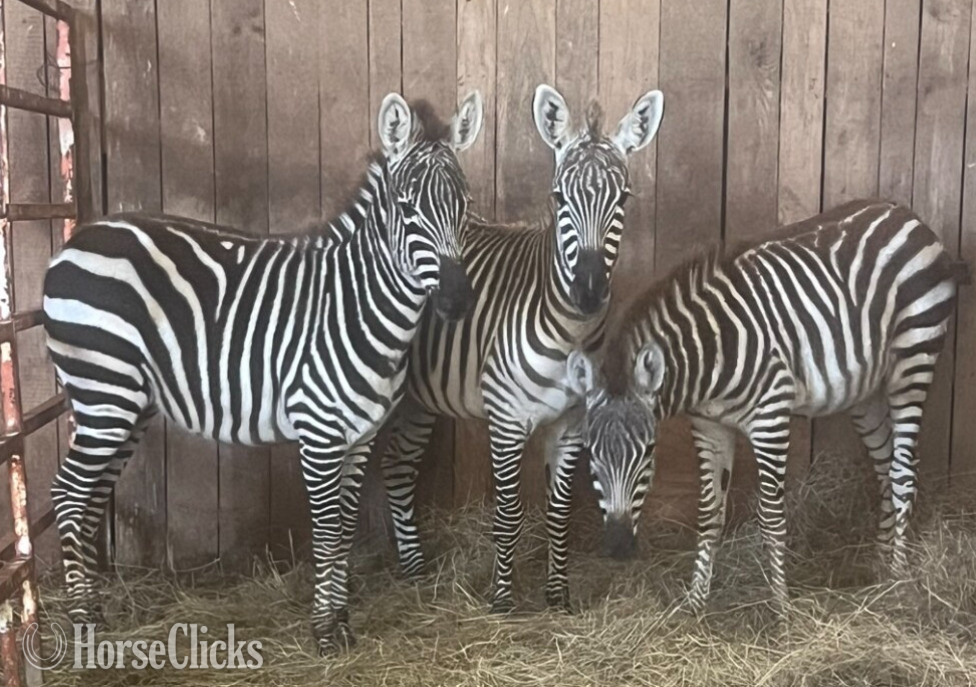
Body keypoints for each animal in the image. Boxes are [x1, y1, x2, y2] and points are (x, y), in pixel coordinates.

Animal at [42, 91, 484, 654]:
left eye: (465, 207)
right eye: (406, 209)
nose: (457, 301)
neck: (356, 304)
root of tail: (77, 239)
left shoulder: (361, 435)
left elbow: (343, 528)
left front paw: (342, 623)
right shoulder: (319, 431)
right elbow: (325, 531)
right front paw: (324, 632)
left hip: (125, 403)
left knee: (91, 495)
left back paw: (95, 607)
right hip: (104, 391)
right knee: (68, 494)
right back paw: (83, 621)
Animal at [381, 84, 664, 613]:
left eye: (623, 198)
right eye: (559, 198)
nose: (589, 291)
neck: (569, 333)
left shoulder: (572, 423)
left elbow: (558, 513)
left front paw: (558, 596)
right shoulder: (506, 421)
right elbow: (509, 513)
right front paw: (502, 601)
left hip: (419, 397)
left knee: (398, 465)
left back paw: (414, 567)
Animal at [565, 199, 965, 612]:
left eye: (647, 452)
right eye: (591, 453)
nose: (618, 547)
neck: (711, 356)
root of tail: (907, 215)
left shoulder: (770, 417)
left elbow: (771, 516)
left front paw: (781, 605)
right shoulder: (708, 426)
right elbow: (709, 511)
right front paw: (696, 601)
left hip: (913, 360)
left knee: (903, 471)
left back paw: (899, 579)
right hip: (866, 391)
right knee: (886, 465)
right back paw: (882, 563)